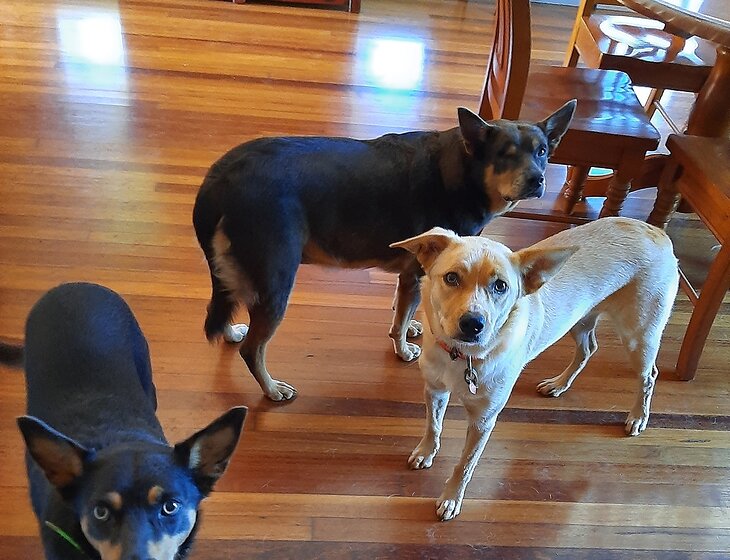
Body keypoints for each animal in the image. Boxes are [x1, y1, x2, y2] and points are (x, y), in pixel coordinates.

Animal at [192, 102, 576, 401]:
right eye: (504, 155)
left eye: (542, 152)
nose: (537, 180)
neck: (464, 172)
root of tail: (219, 177)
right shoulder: (417, 272)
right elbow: (401, 319)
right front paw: (403, 349)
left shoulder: (411, 274)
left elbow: (401, 312)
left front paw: (411, 328)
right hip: (276, 280)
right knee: (252, 349)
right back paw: (272, 389)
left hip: (237, 268)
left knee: (225, 305)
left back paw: (231, 332)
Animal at [390, 217, 679, 521]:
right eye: (451, 277)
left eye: (501, 286)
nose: (473, 324)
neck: (462, 357)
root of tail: (656, 231)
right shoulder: (434, 390)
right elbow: (433, 426)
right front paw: (426, 452)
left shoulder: (483, 420)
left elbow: (465, 463)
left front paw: (451, 498)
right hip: (579, 321)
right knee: (588, 348)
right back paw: (559, 384)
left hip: (639, 335)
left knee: (648, 376)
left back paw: (638, 417)